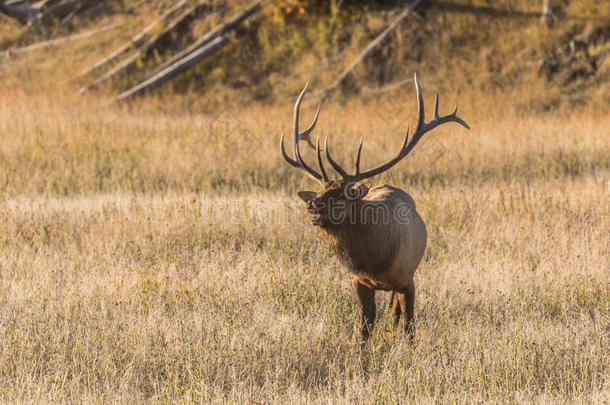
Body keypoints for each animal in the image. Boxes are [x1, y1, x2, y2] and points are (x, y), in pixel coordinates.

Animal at [282, 73, 470, 340]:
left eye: (341, 196)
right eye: (319, 192)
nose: (313, 205)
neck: (374, 261)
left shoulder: (407, 279)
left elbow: (410, 327)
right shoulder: (358, 281)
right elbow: (364, 328)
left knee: (396, 314)